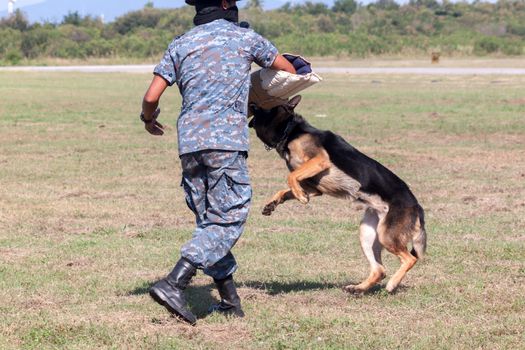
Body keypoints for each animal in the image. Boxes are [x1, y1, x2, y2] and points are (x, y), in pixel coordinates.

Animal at [249, 95, 426, 292]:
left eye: (266, 106)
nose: (251, 103)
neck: (290, 131)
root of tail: (416, 206)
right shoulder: (314, 188)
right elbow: (286, 187)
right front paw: (273, 203)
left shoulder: (320, 161)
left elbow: (291, 176)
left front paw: (300, 196)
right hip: (368, 233)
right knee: (380, 270)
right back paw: (358, 289)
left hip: (386, 235)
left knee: (411, 258)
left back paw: (392, 283)